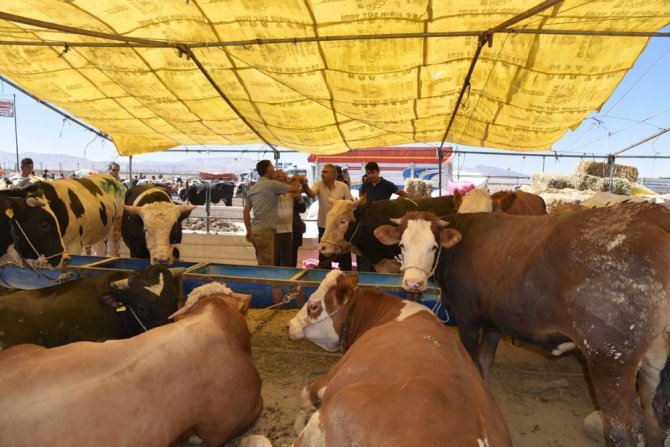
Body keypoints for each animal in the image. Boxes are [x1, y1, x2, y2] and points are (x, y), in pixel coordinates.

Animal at [376, 204, 670, 447]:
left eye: (434, 247)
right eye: (401, 245)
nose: (413, 283)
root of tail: (654, 215)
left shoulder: (468, 318)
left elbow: (472, 359)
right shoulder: (493, 322)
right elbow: (485, 360)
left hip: (609, 356)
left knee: (624, 428)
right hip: (654, 356)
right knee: (654, 420)